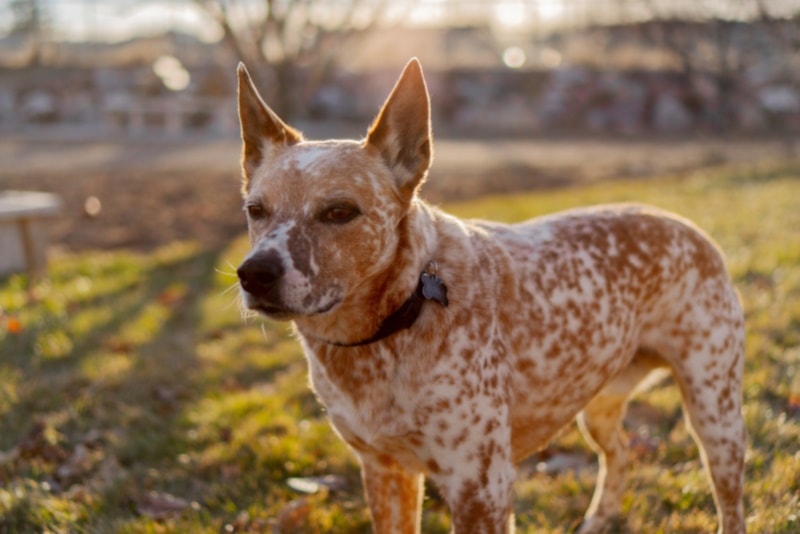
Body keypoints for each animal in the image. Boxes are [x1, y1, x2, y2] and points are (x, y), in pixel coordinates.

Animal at [234, 59, 748, 534]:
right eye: (255, 209)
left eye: (340, 211)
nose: (253, 273)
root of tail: (691, 228)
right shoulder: (383, 470)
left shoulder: (480, 486)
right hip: (598, 408)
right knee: (620, 454)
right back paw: (597, 520)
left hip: (715, 416)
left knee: (729, 501)